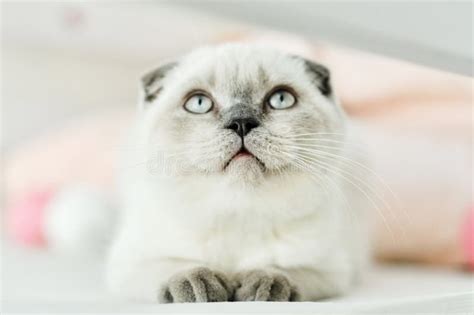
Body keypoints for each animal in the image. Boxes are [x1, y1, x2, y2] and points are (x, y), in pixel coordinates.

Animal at [106, 43, 370, 302]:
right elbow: (177, 267)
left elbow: (280, 270)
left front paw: (262, 287)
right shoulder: (128, 266)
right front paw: (200, 286)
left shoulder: (327, 271)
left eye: (281, 99)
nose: (241, 122)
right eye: (199, 103)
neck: (238, 213)